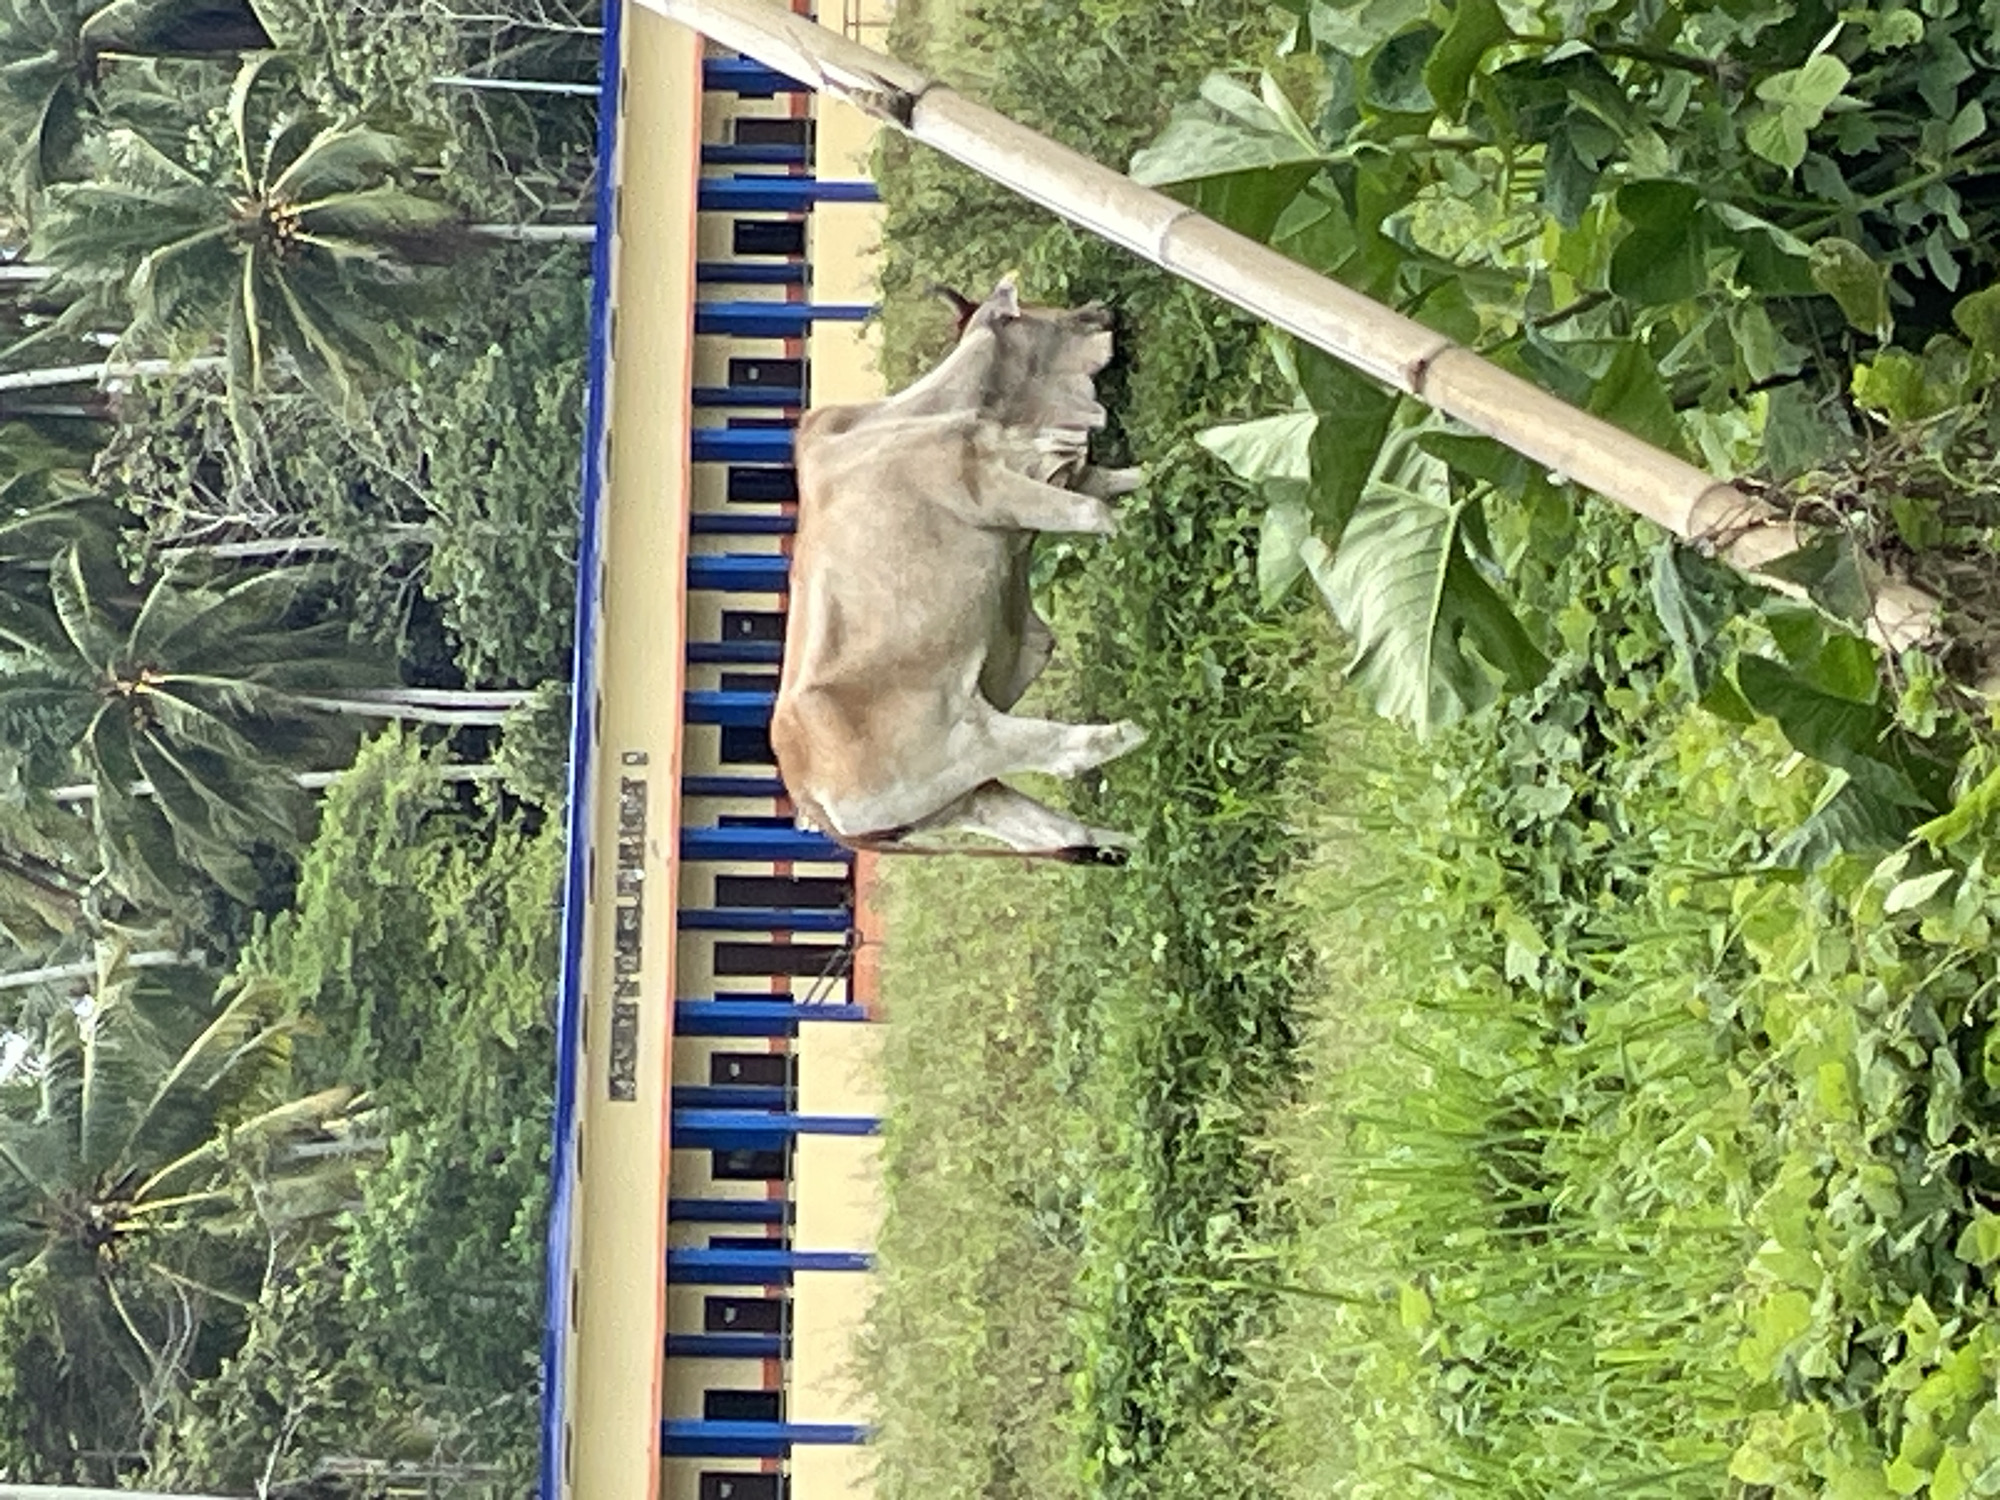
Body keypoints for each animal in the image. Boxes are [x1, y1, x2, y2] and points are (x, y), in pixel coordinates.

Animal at [769, 274, 1147, 864]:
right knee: (1070, 752)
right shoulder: (999, 491)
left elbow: (1126, 481)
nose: (1100, 310)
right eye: (1032, 312)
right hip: (973, 737)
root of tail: (809, 795)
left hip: (964, 801)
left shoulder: (1058, 473)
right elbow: (1098, 514)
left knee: (1058, 833)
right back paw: (1145, 729)